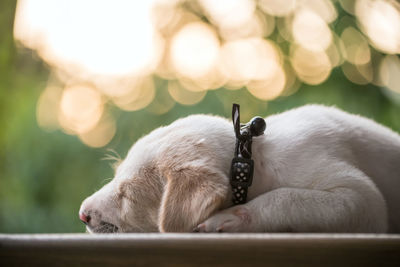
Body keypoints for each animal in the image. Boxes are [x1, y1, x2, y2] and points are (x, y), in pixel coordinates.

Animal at [78, 105, 400, 233]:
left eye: (128, 195)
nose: (82, 214)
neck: (251, 157)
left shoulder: (361, 197)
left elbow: (287, 197)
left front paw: (231, 218)